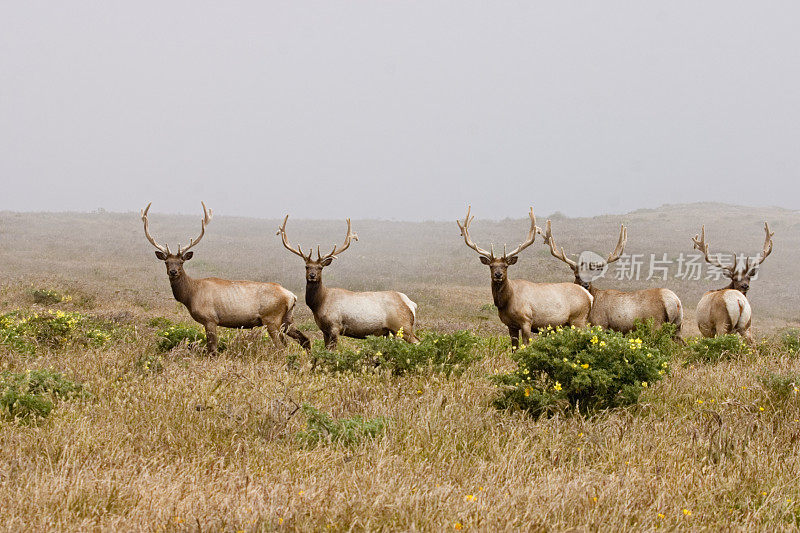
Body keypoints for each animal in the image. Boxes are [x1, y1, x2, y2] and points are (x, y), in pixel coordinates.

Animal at [141, 200, 310, 354]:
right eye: (167, 262)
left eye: (181, 262)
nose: (173, 272)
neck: (191, 295)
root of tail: (292, 296)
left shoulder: (210, 319)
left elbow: (212, 349)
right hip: (287, 319)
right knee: (305, 339)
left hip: (272, 318)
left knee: (282, 348)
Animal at [276, 214, 418, 352]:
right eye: (306, 266)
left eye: (320, 268)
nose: (312, 276)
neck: (319, 303)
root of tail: (410, 304)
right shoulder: (324, 330)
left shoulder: (335, 326)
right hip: (391, 331)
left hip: (403, 325)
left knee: (417, 341)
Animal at [456, 205, 592, 350]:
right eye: (491, 266)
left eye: (505, 266)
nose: (498, 275)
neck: (507, 301)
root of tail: (589, 296)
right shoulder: (510, 325)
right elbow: (514, 348)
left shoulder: (526, 320)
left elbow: (526, 345)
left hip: (579, 318)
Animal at [536, 218, 680, 334]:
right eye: (577, 275)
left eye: (592, 276)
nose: (585, 285)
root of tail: (674, 301)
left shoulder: (601, 324)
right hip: (677, 327)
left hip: (655, 324)